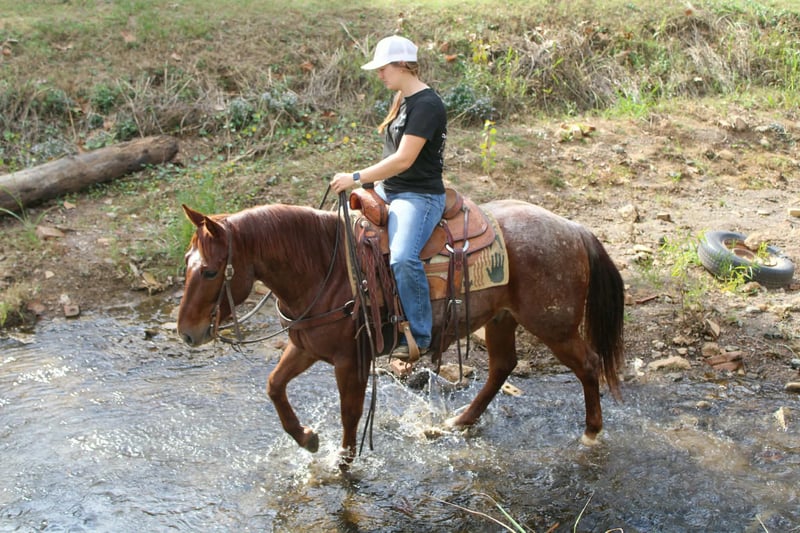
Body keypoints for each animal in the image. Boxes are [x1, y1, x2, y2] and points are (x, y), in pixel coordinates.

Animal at [177, 197, 625, 465]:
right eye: (186, 261)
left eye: (211, 271)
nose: (187, 333)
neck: (326, 269)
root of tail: (574, 229)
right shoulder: (305, 347)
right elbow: (273, 385)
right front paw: (307, 439)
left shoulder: (349, 360)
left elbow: (351, 412)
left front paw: (344, 465)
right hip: (502, 319)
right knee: (502, 367)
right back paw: (459, 422)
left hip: (554, 325)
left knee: (588, 364)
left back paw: (591, 434)